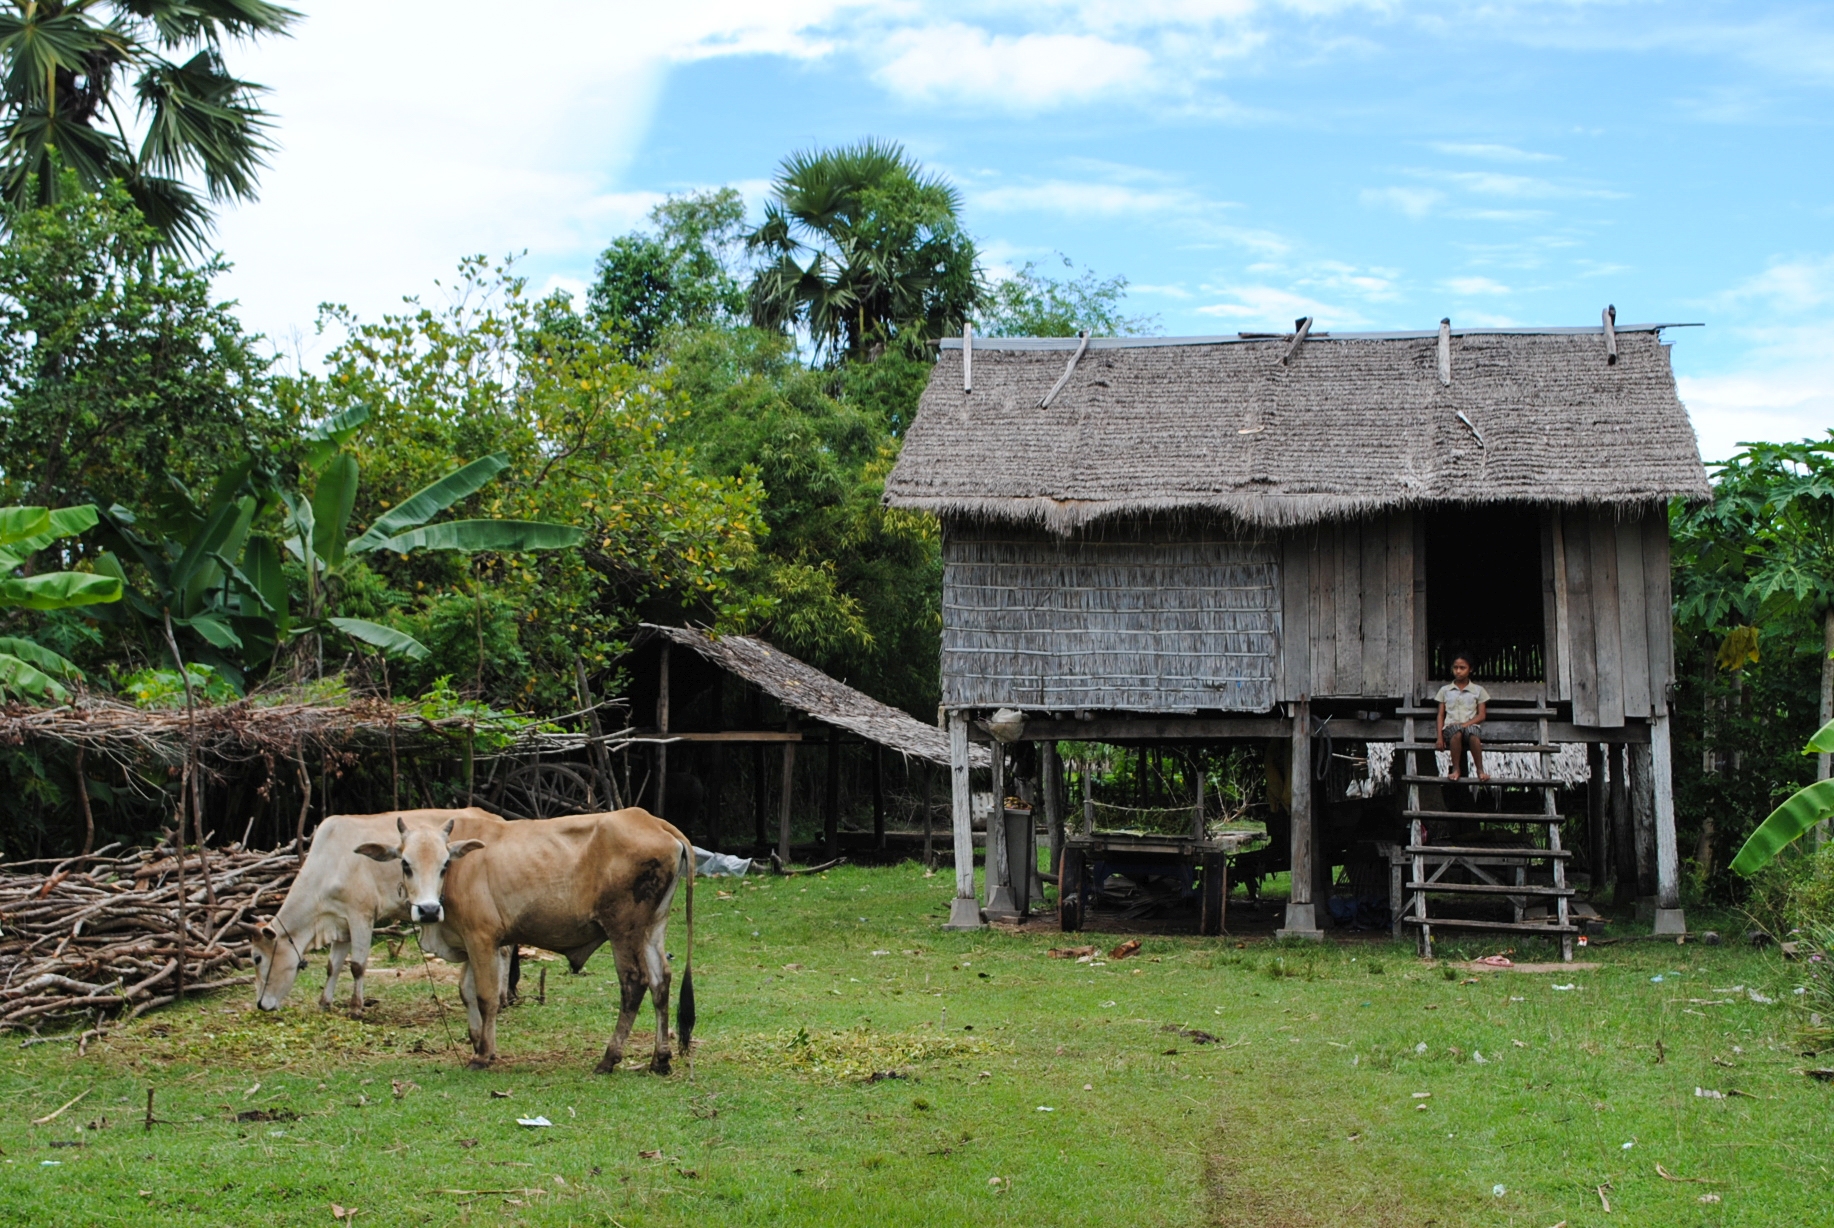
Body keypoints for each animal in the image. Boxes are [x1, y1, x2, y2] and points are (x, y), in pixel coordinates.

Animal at [251, 813, 506, 1011]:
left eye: (256, 957)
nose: (261, 1004)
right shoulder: (341, 923)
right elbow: (333, 966)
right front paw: (325, 1003)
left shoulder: (361, 915)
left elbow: (357, 965)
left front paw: (356, 1008)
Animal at [357, 813, 693, 1070]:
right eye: (405, 864)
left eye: (444, 865)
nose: (427, 910)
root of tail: (653, 821)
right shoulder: (468, 942)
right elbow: (466, 993)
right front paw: (478, 1042)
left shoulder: (482, 939)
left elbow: (486, 997)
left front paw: (483, 1055)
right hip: (652, 927)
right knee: (660, 981)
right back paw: (660, 1059)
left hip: (623, 929)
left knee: (634, 982)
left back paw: (609, 1059)